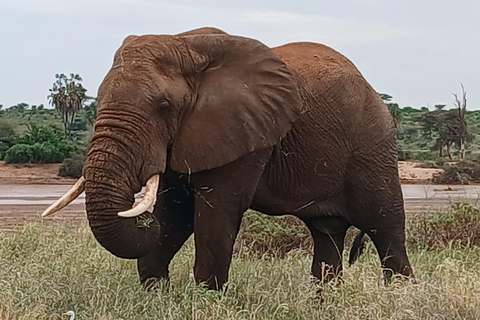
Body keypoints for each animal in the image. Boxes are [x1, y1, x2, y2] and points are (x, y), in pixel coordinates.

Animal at [43, 27, 414, 290]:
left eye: (163, 106)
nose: (142, 218)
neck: (187, 44)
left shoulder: (246, 133)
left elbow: (213, 213)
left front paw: (207, 302)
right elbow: (175, 215)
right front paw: (156, 297)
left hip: (373, 146)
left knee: (387, 232)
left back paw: (401, 298)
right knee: (328, 237)